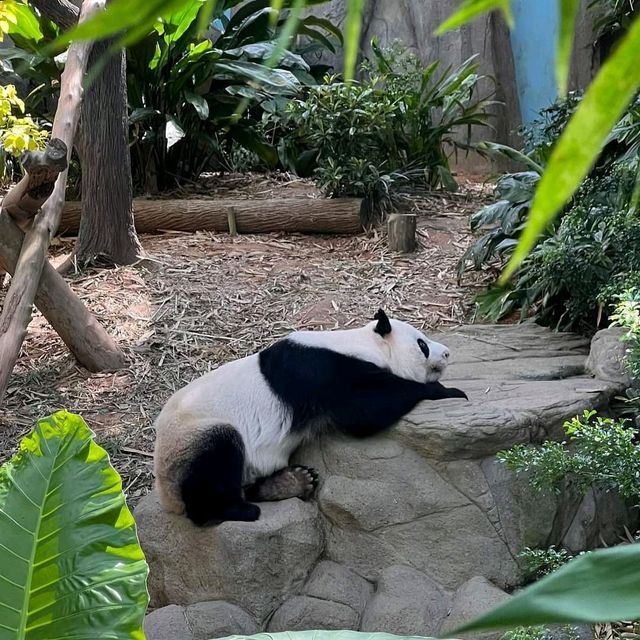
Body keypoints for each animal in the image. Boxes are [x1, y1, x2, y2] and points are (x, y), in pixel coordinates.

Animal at [154, 308, 464, 524]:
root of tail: (166, 497)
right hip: (190, 438)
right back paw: (238, 509)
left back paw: (288, 483)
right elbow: (363, 411)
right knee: (216, 456)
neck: (361, 342)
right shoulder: (324, 372)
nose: (448, 353)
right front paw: (447, 390)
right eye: (422, 344)